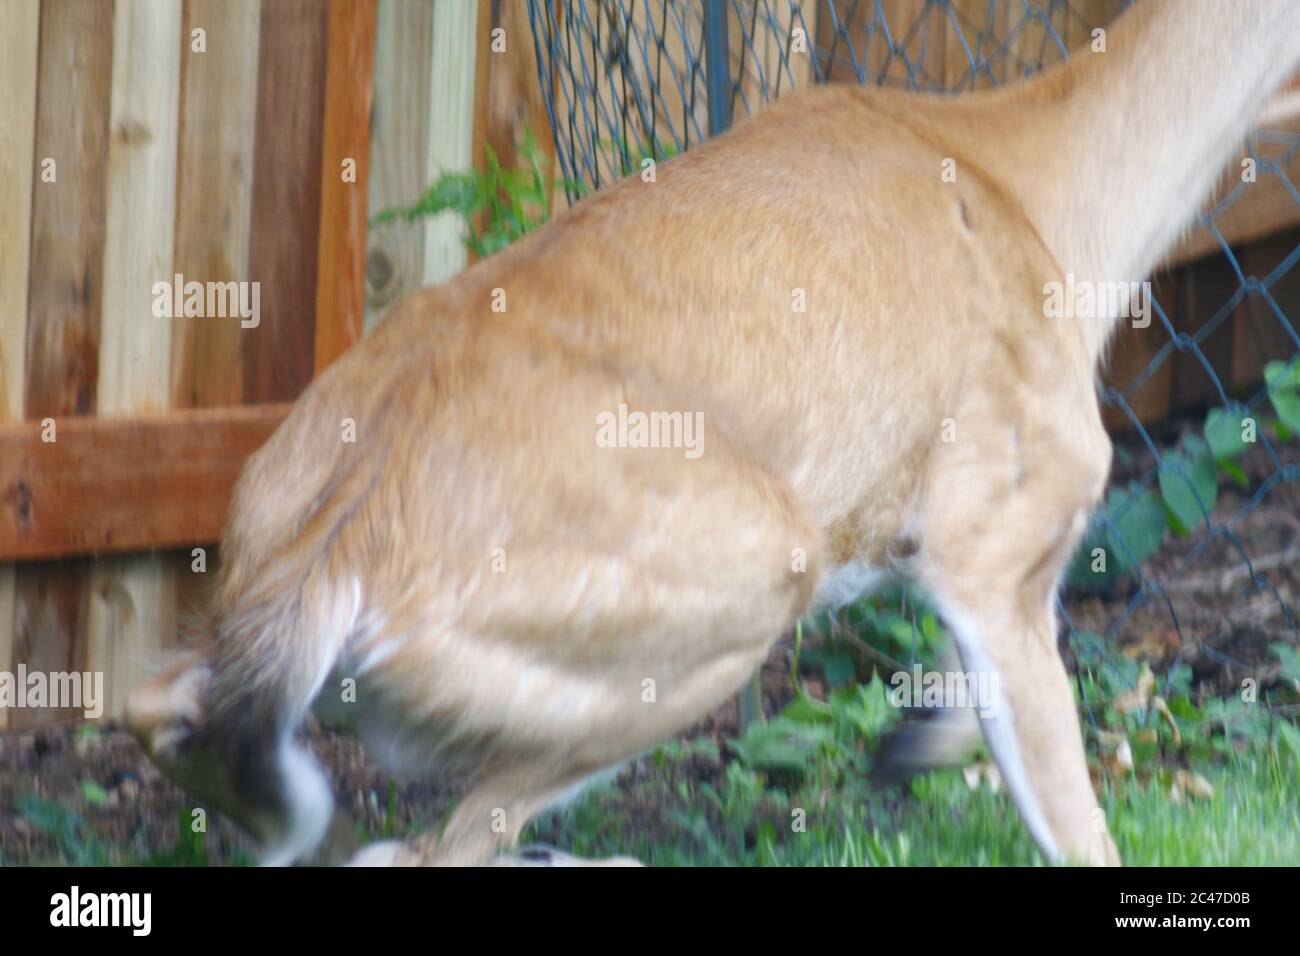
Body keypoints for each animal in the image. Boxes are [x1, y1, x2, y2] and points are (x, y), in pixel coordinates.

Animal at [125, 0, 1300, 866]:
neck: (1054, 209)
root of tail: (331, 552)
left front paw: (908, 742)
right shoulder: (997, 528)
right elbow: (1078, 822)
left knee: (170, 707)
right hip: (739, 583)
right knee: (426, 846)